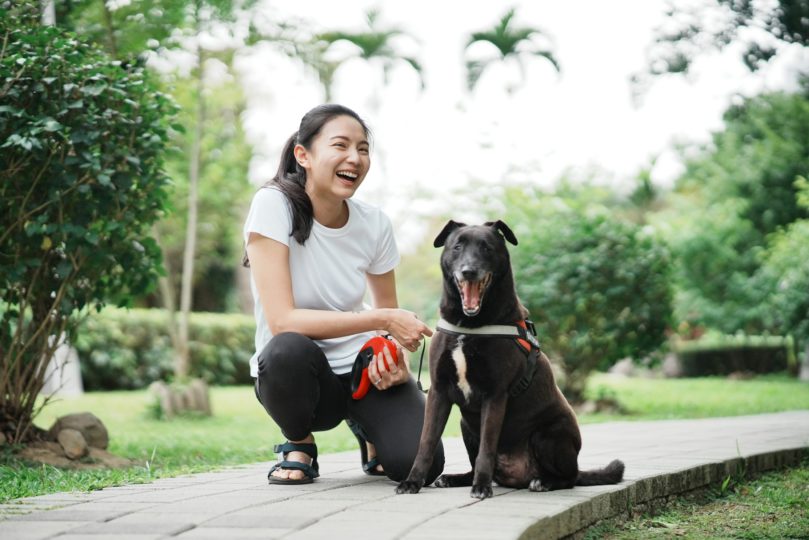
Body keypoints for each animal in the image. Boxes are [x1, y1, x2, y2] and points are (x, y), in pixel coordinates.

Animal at [394, 221, 620, 500]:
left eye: (487, 248)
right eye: (457, 247)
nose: (469, 271)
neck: (469, 326)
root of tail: (517, 475)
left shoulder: (495, 395)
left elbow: (487, 448)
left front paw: (481, 487)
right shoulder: (438, 391)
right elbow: (426, 442)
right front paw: (412, 481)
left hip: (549, 434)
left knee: (570, 477)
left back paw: (544, 482)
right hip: (466, 425)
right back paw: (454, 478)